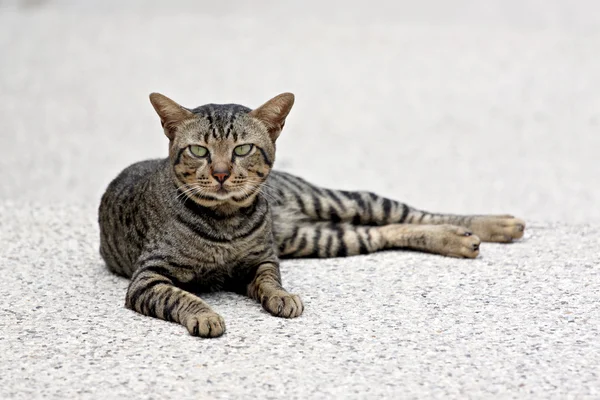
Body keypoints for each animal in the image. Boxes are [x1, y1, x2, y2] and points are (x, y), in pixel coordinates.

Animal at [98, 93, 524, 338]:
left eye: (242, 149)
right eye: (199, 151)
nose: (219, 173)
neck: (226, 221)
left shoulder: (262, 261)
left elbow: (270, 283)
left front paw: (282, 297)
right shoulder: (148, 279)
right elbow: (181, 297)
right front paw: (206, 315)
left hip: (343, 202)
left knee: (414, 213)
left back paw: (494, 225)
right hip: (324, 238)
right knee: (388, 230)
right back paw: (462, 238)